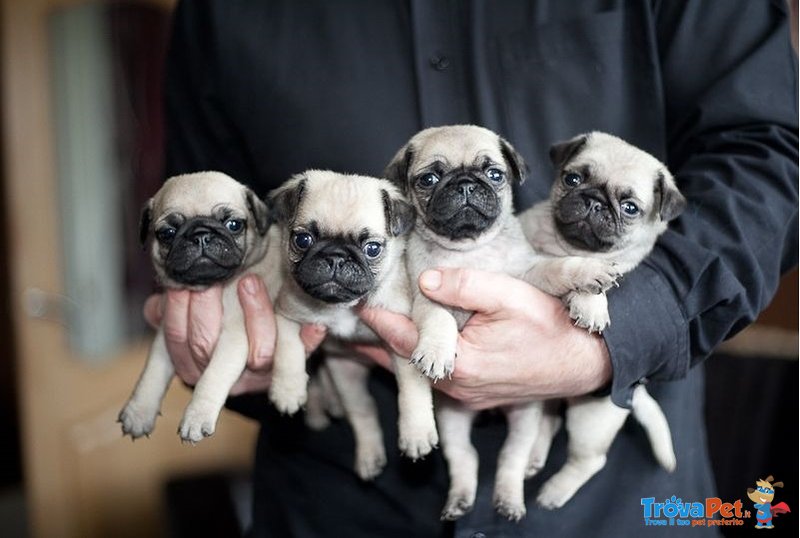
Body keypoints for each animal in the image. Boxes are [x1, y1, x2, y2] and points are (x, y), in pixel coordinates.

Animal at [117, 171, 270, 440]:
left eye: (233, 225)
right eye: (167, 233)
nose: (201, 235)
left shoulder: (234, 338)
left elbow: (212, 377)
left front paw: (197, 416)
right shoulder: (166, 336)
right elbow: (152, 372)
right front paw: (139, 411)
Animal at [264, 170, 438, 476]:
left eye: (372, 249)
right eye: (303, 240)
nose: (336, 256)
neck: (342, 306)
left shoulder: (402, 345)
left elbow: (412, 392)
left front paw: (416, 434)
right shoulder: (286, 312)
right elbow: (287, 350)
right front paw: (287, 391)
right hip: (345, 373)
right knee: (362, 410)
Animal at [382, 125, 620, 520]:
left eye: (494, 174)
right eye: (429, 179)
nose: (465, 184)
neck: (472, 251)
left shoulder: (528, 273)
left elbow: (558, 266)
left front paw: (587, 272)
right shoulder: (426, 294)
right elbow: (439, 320)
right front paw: (436, 351)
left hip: (525, 416)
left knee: (511, 457)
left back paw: (509, 500)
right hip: (452, 419)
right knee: (466, 457)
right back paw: (460, 500)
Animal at [516, 131, 684, 506]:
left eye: (630, 207)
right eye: (573, 179)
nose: (594, 201)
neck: (567, 247)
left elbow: (591, 279)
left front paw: (591, 304)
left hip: (590, 420)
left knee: (590, 460)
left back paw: (555, 491)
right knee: (549, 421)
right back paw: (532, 455)